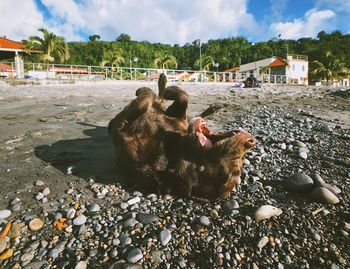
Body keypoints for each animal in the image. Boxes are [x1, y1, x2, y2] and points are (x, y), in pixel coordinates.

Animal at [108, 73, 256, 199]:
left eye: (230, 174)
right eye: (242, 159)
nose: (251, 142)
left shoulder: (121, 132)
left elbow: (146, 100)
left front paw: (144, 90)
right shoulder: (178, 117)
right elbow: (183, 97)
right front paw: (168, 90)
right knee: (162, 101)